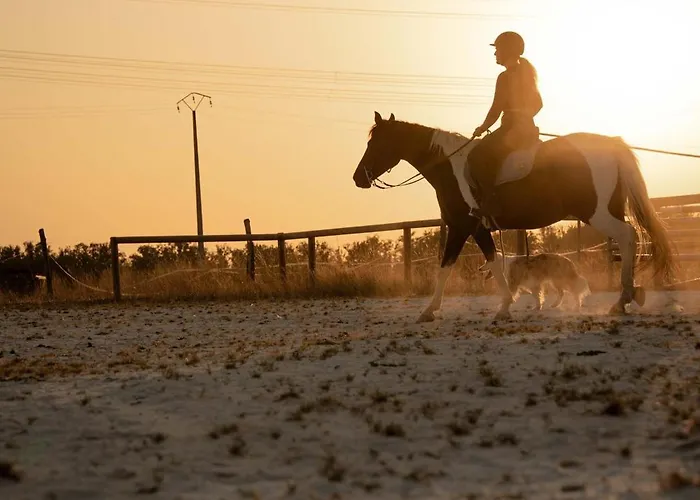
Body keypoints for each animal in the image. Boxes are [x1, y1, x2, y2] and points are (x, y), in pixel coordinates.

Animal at [352, 111, 677, 321]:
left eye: (374, 144)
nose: (357, 178)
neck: (450, 168)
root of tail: (610, 144)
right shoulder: (472, 228)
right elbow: (484, 262)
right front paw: (502, 305)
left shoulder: (464, 226)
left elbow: (453, 266)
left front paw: (432, 310)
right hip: (609, 210)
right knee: (627, 241)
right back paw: (628, 296)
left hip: (598, 214)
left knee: (627, 237)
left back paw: (622, 299)